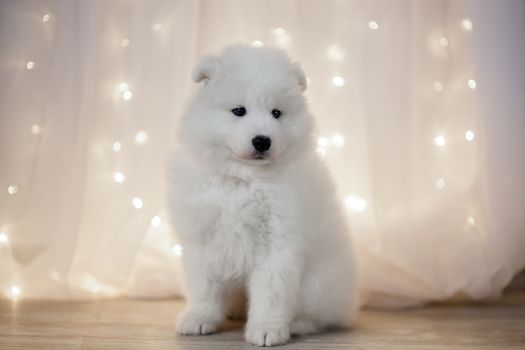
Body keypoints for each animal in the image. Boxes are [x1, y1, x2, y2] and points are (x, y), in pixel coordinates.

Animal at [170, 45, 358, 346]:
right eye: (239, 111)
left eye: (277, 113)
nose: (262, 141)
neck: (244, 179)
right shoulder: (203, 239)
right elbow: (204, 287)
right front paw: (199, 318)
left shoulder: (277, 242)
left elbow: (272, 292)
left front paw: (267, 329)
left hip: (317, 285)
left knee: (320, 316)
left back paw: (298, 324)